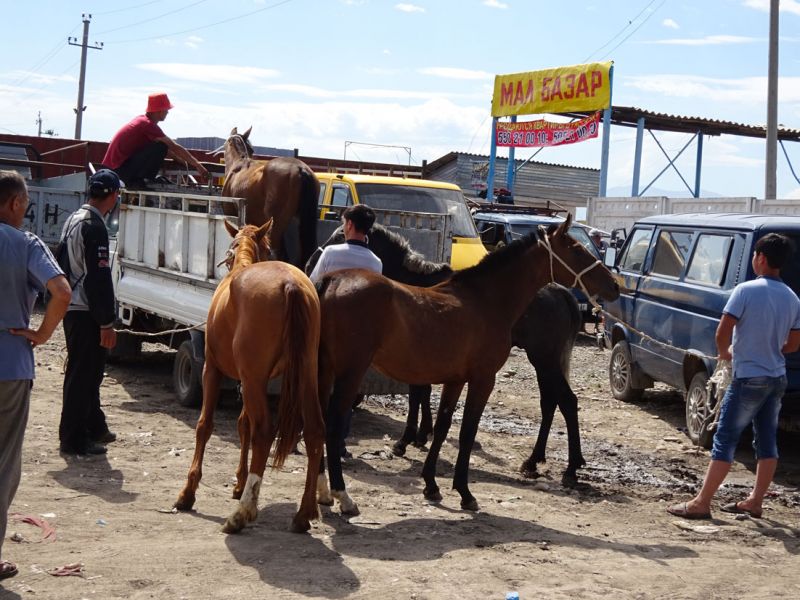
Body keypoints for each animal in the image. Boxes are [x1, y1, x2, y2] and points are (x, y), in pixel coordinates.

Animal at [175, 218, 324, 532]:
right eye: (268, 247)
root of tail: (290, 284)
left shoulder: (213, 370)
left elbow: (205, 425)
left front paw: (188, 492)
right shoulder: (248, 379)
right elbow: (244, 425)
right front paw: (239, 482)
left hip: (254, 380)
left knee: (265, 431)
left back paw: (243, 513)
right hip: (304, 375)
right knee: (315, 430)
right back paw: (303, 513)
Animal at [312, 213, 620, 512]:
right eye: (577, 249)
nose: (615, 285)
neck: (485, 299)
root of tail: (331, 282)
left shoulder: (455, 379)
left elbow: (443, 425)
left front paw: (430, 482)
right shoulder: (482, 379)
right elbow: (466, 431)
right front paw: (463, 491)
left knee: (558, 402)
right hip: (350, 371)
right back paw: (341, 494)